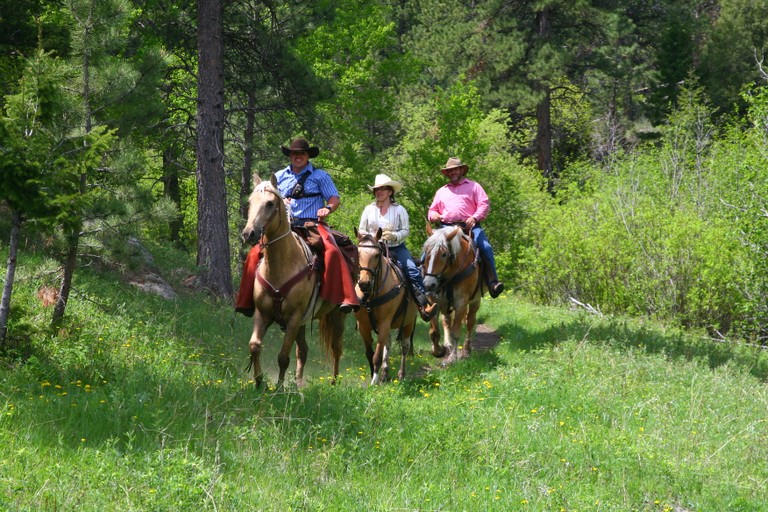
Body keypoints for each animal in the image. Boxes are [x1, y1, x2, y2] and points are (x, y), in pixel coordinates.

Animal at [242, 174, 346, 386]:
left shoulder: (294, 318)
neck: (281, 266)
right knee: (303, 351)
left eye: (270, 203)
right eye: (250, 202)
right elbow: (255, 346)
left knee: (336, 348)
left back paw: (333, 382)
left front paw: (279, 387)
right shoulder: (263, 314)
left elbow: (283, 357)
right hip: (303, 323)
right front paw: (259, 382)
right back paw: (298, 384)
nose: (249, 233)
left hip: (336, 315)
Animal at [356, 229, 416, 384]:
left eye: (377, 255)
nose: (364, 283)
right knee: (387, 345)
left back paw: (401, 374)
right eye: (357, 253)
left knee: (405, 347)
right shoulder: (363, 326)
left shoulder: (384, 323)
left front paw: (374, 381)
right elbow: (370, 353)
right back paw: (385, 373)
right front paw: (375, 375)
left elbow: (377, 355)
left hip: (409, 322)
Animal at [420, 226, 480, 362]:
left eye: (444, 254)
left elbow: (456, 331)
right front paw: (438, 350)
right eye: (426, 252)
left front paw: (453, 357)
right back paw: (448, 344)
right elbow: (434, 331)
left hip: (475, 301)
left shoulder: (461, 303)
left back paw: (466, 349)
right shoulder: (434, 300)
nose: (428, 284)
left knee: (470, 322)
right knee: (446, 321)